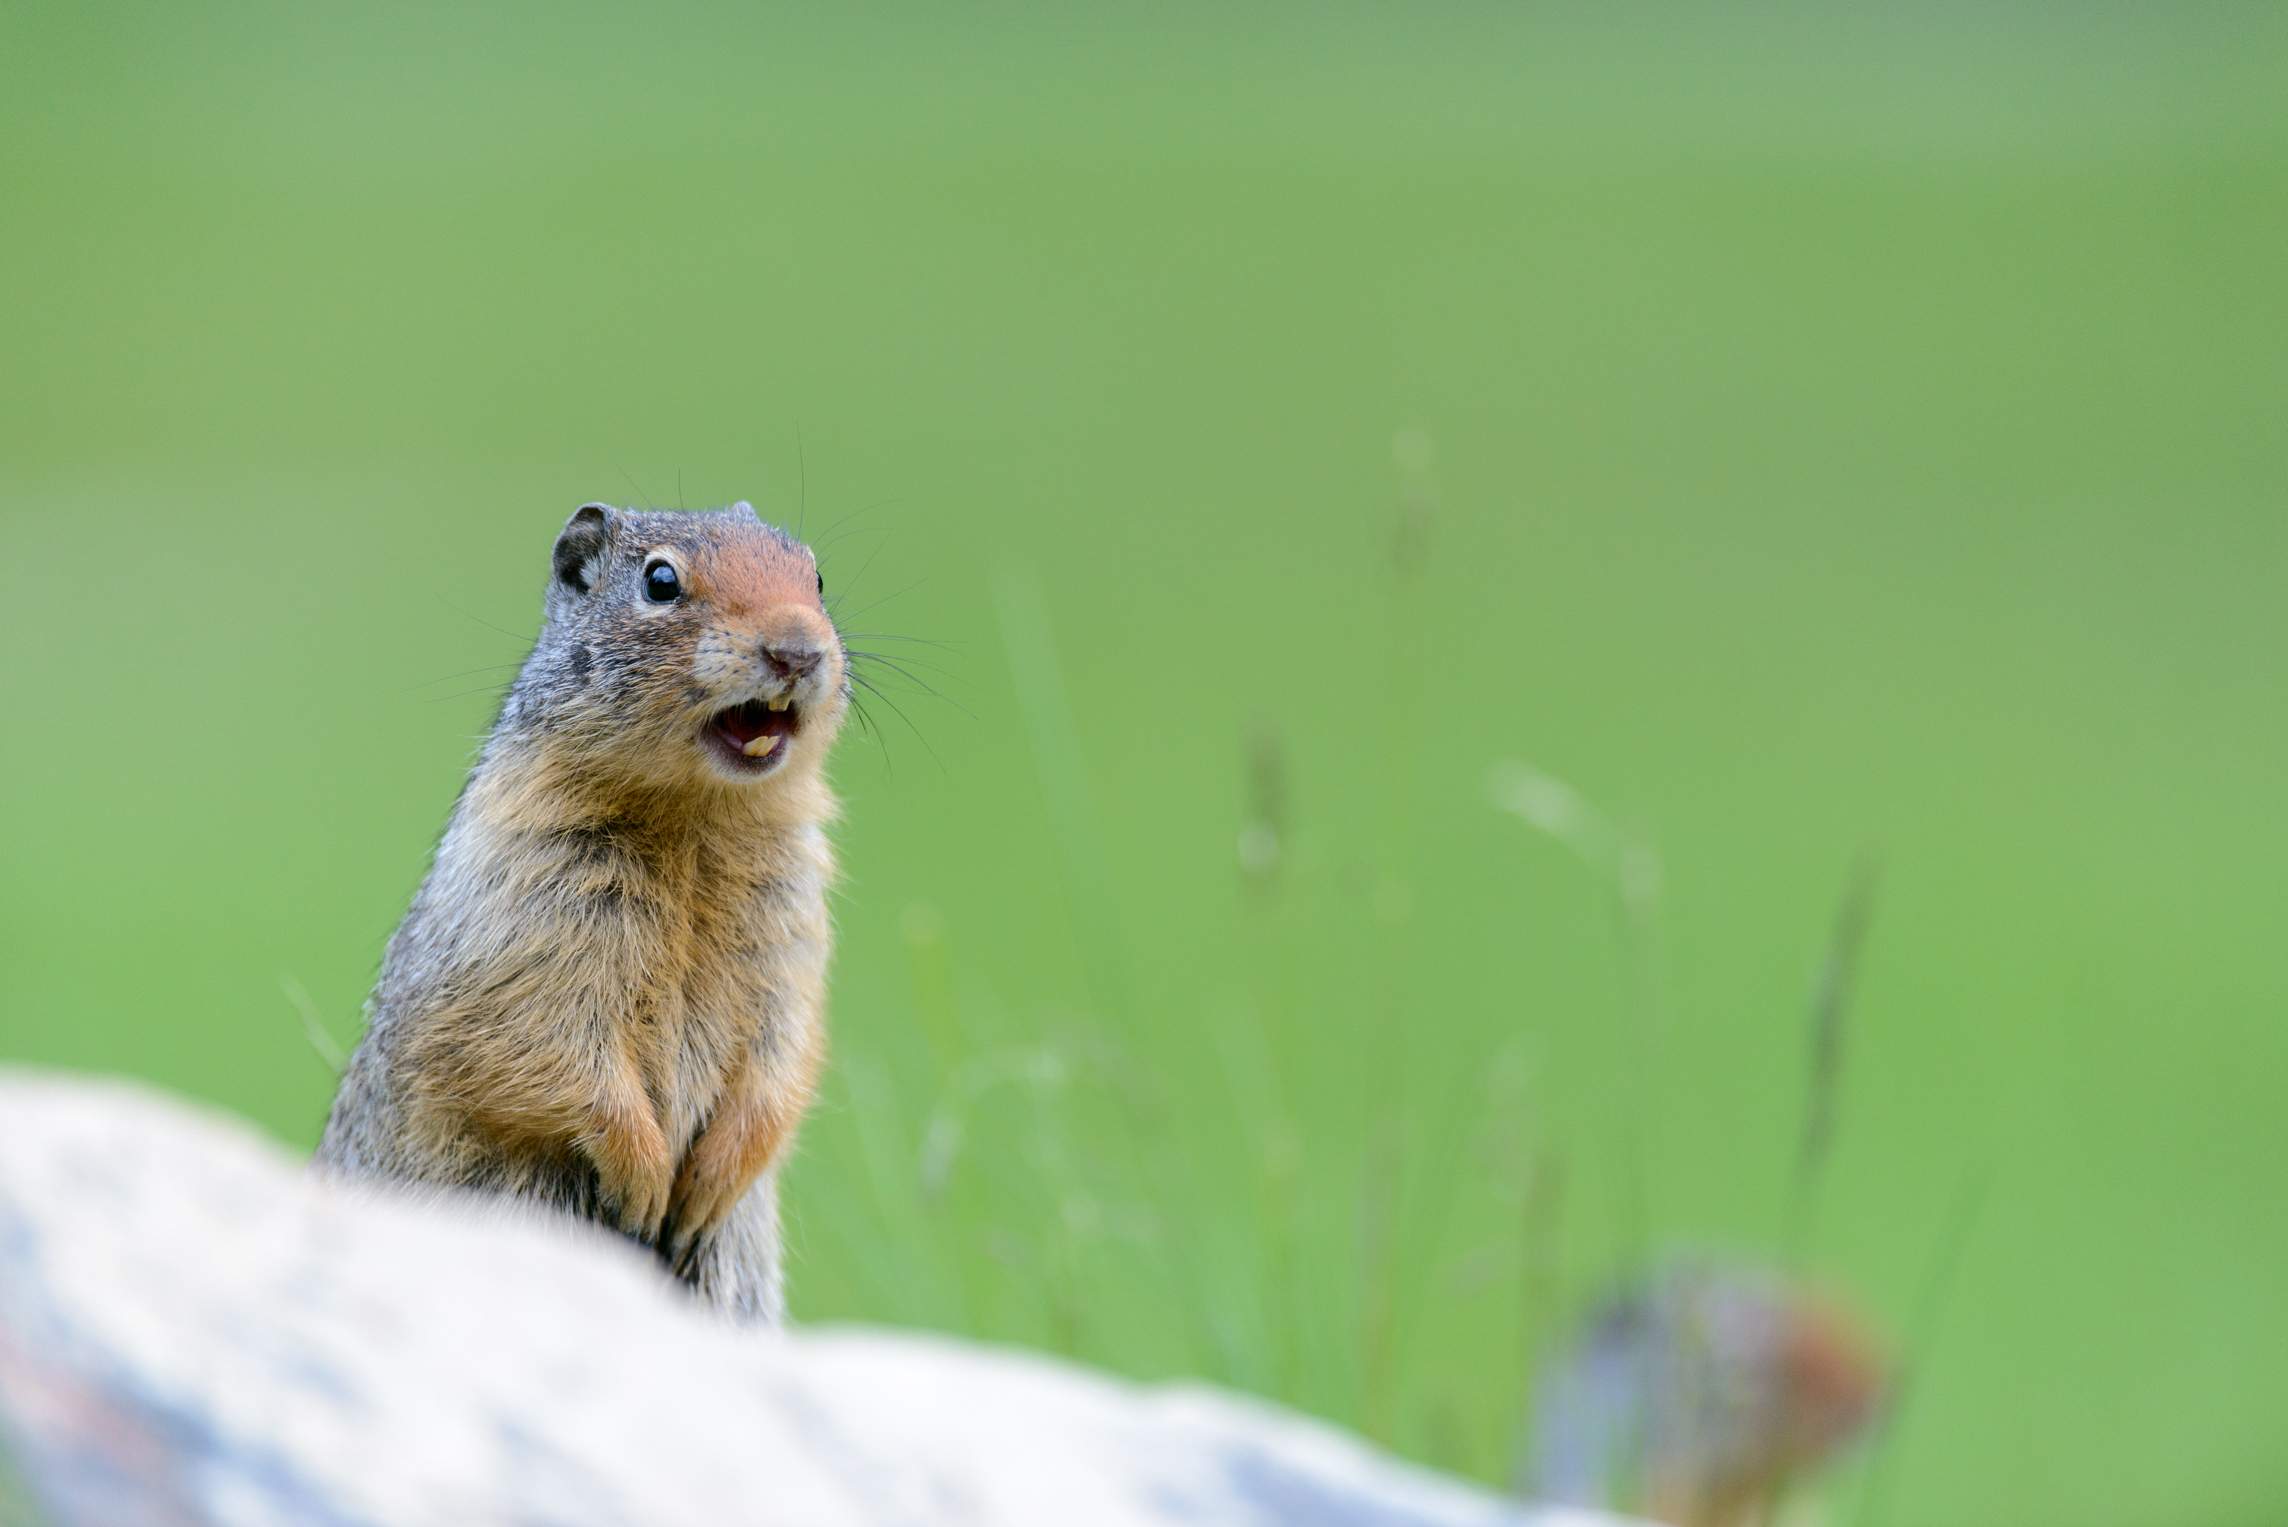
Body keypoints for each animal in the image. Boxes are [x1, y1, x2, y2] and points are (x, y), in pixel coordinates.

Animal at [315, 501, 848, 1325]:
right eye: (660, 582)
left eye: (815, 576)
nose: (797, 649)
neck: (695, 819)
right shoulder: (526, 910)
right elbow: (552, 1049)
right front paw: (646, 1183)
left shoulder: (790, 927)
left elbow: (782, 1052)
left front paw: (706, 1189)